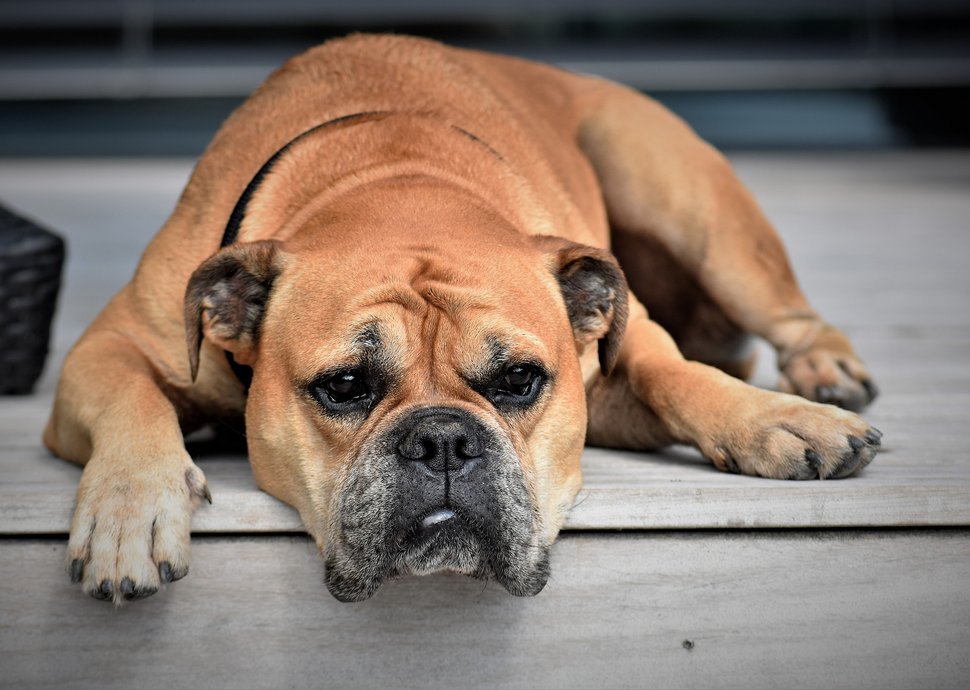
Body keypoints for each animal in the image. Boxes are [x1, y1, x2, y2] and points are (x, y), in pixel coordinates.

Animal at [43, 33, 876, 600]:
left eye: (520, 380)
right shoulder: (106, 348)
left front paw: (775, 419)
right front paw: (128, 511)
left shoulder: (621, 354)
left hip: (688, 202)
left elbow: (676, 374)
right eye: (344, 386)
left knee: (785, 314)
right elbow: (131, 398)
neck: (394, 180)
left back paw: (823, 373)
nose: (442, 440)